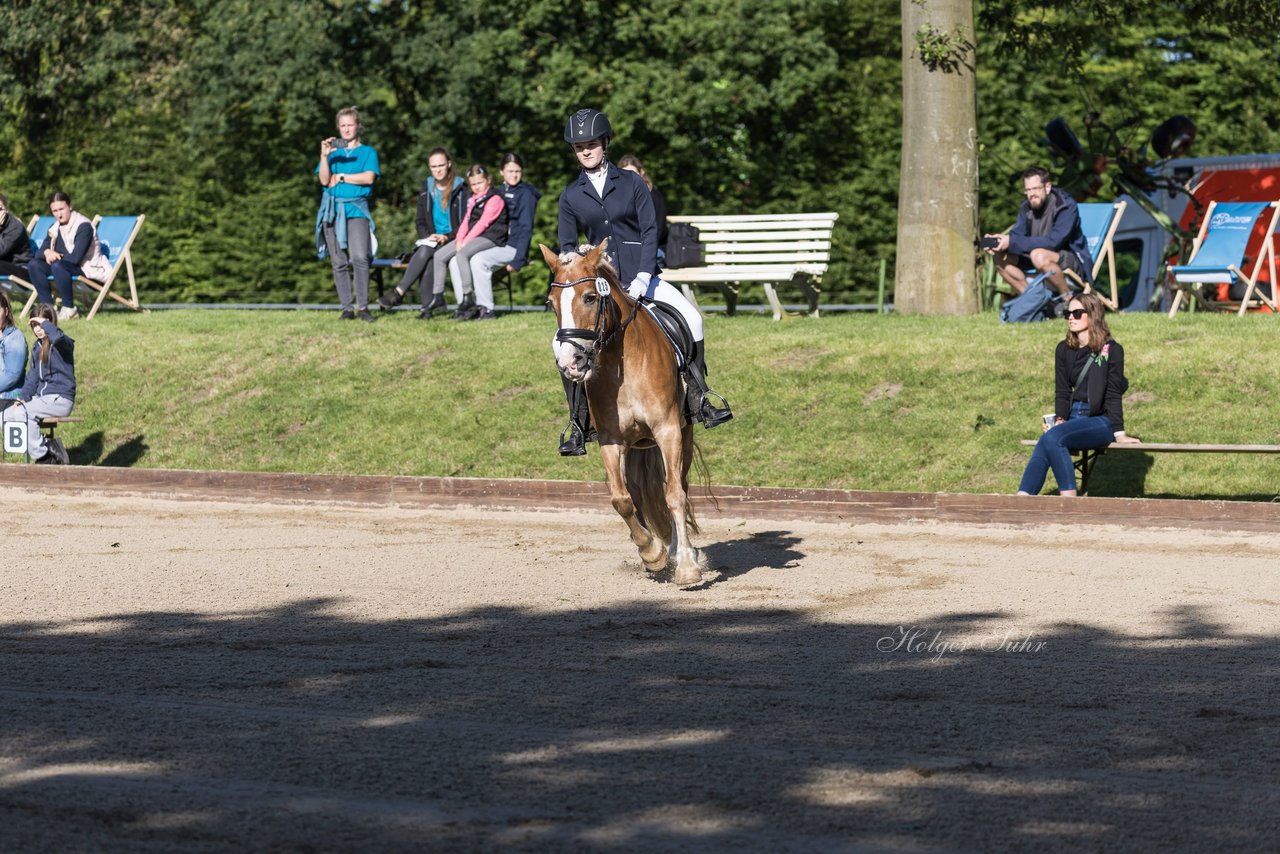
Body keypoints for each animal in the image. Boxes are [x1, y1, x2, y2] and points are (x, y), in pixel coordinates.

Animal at [535, 240, 706, 588]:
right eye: (551, 302)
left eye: (589, 297)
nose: (570, 362)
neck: (619, 361)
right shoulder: (611, 440)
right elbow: (621, 499)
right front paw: (651, 554)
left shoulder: (668, 430)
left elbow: (674, 495)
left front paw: (686, 567)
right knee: (639, 495)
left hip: (683, 432)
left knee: (677, 486)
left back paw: (682, 552)